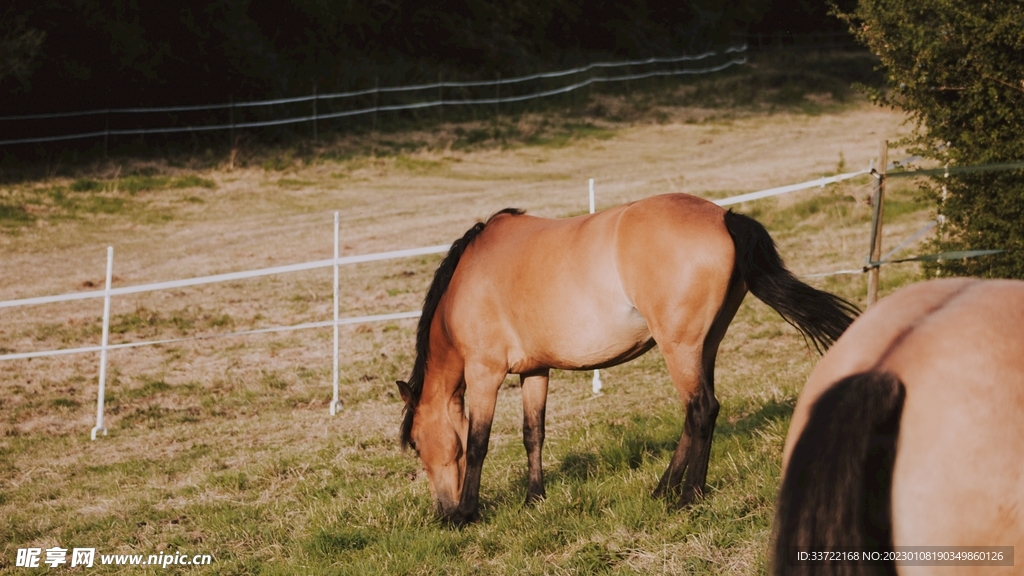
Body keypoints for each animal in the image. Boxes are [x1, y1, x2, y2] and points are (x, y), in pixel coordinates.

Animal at [396, 192, 859, 525]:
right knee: (695, 414)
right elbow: (533, 434)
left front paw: (467, 513)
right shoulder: (536, 371)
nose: (441, 511)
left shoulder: (485, 374)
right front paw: (533, 499)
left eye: (416, 442)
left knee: (702, 409)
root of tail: (723, 216)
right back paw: (663, 490)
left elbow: (477, 444)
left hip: (679, 348)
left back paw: (687, 497)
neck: (467, 282)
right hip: (703, 346)